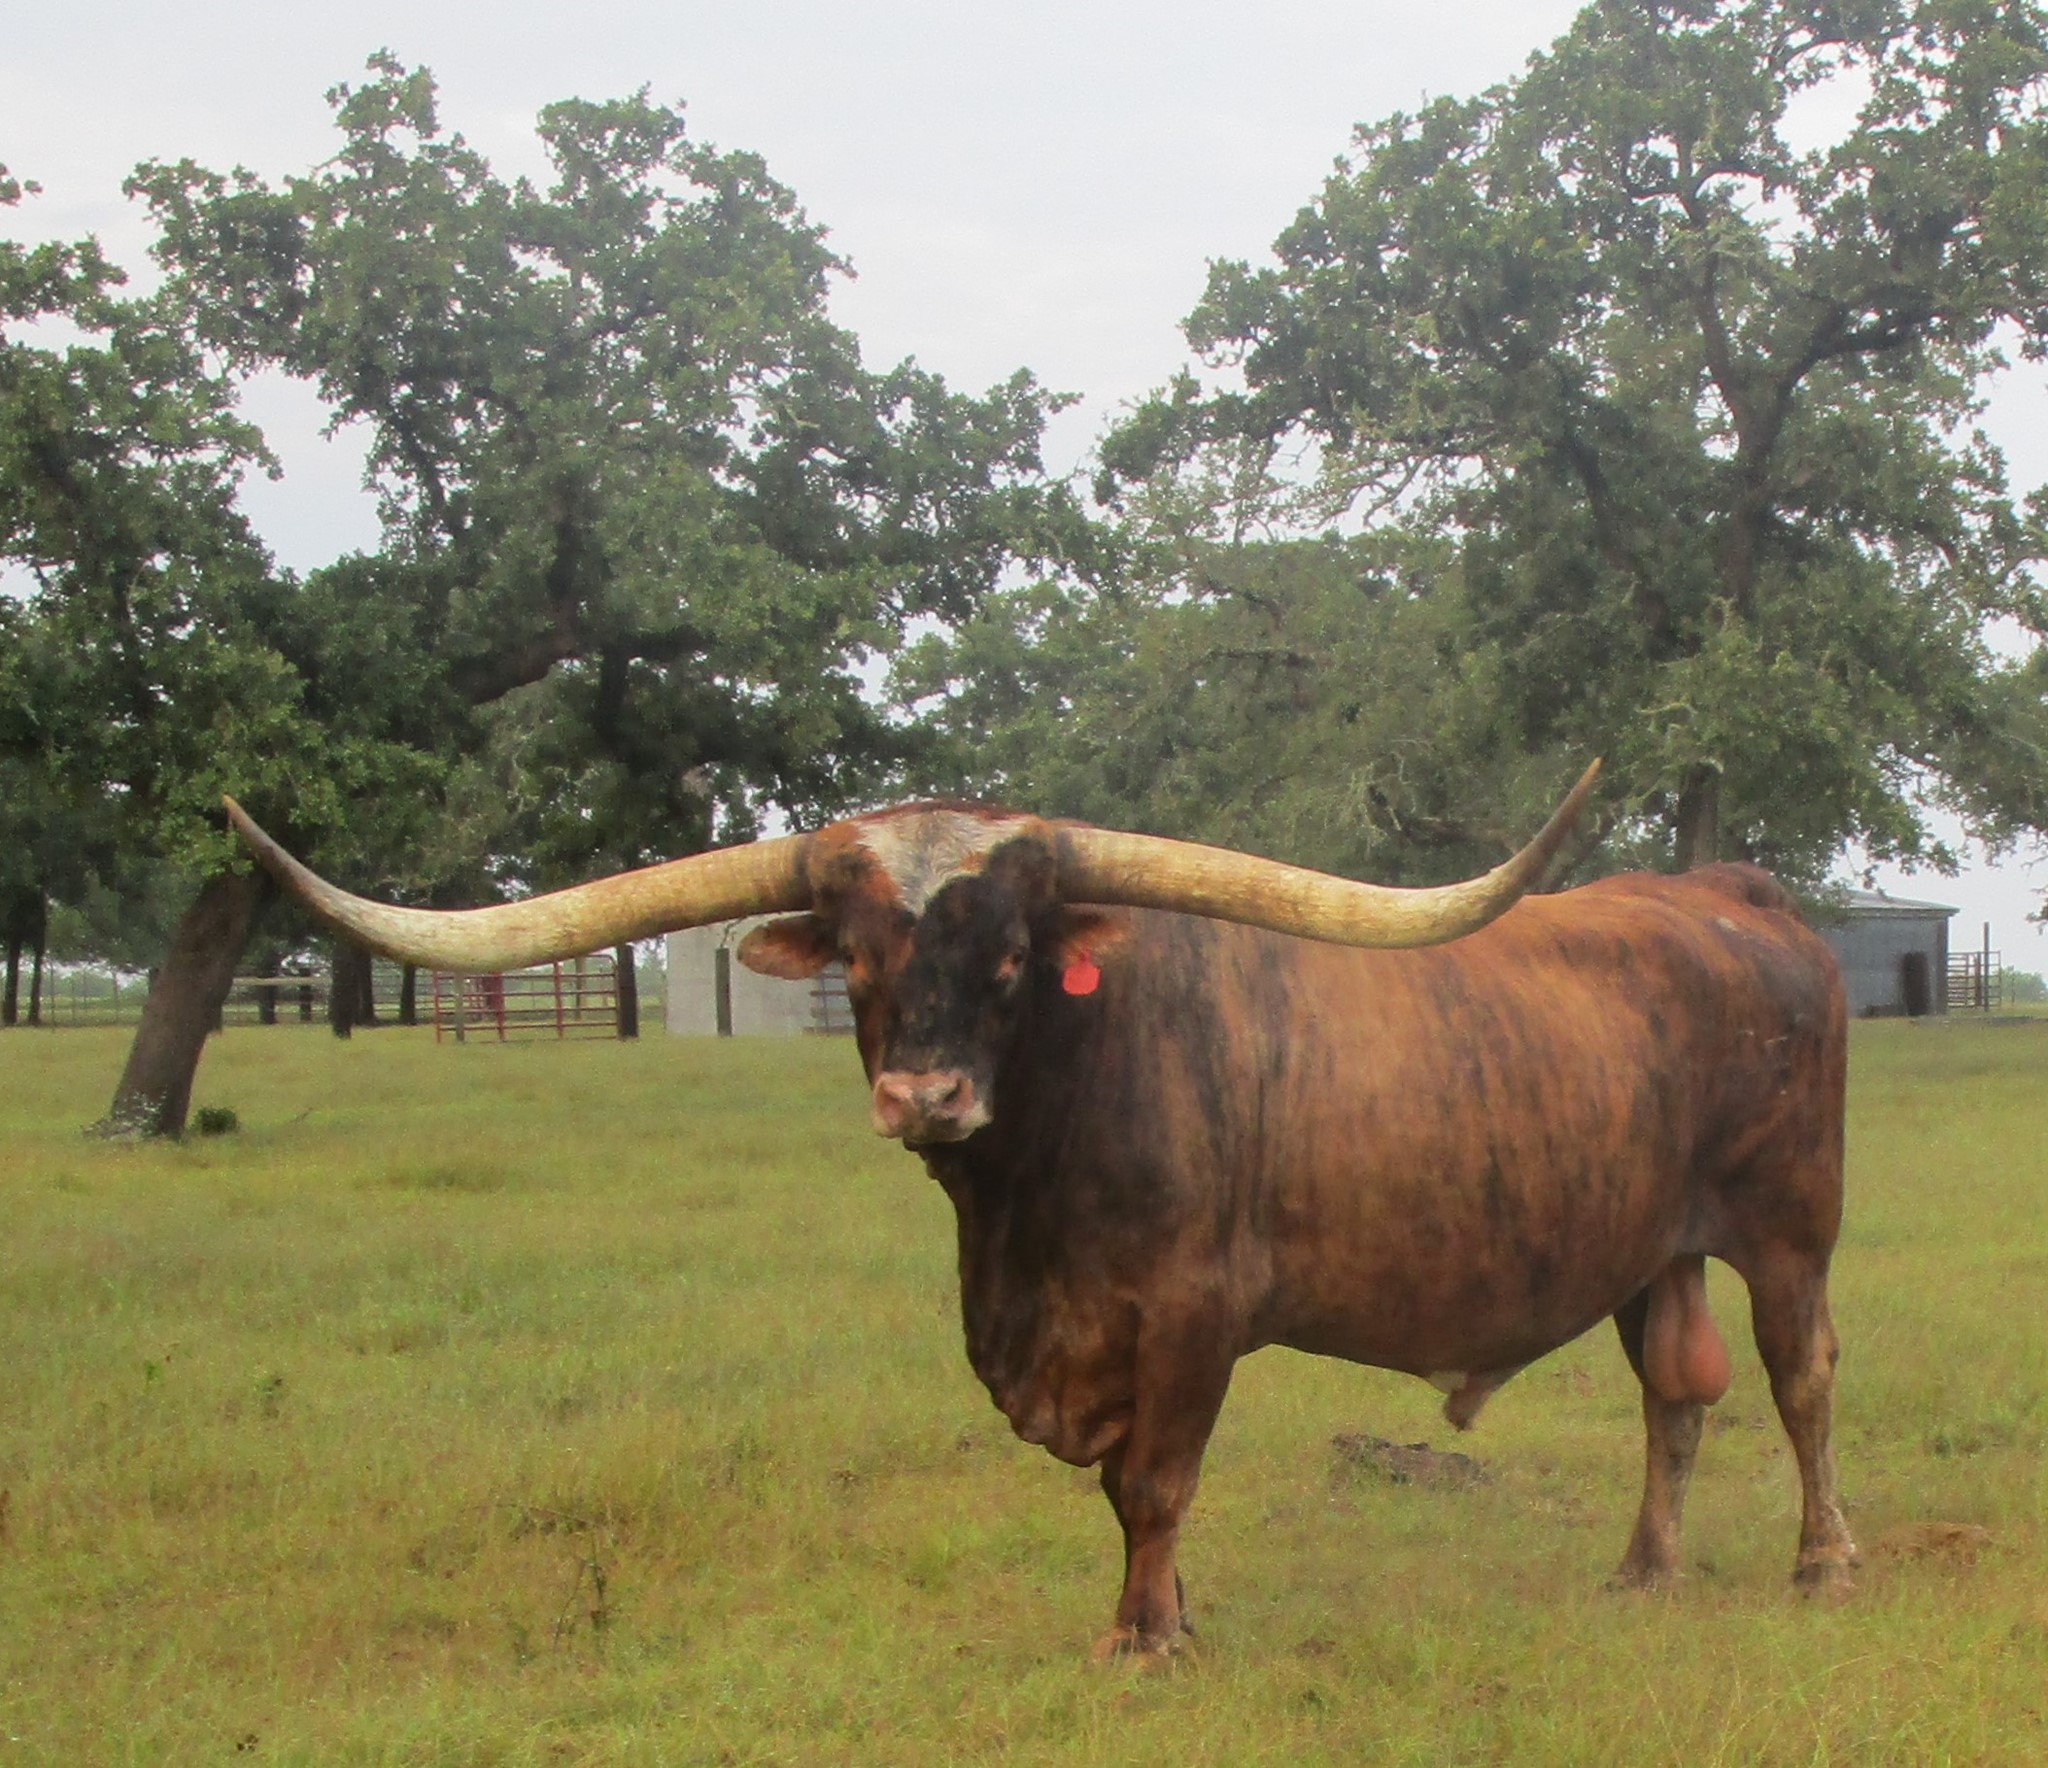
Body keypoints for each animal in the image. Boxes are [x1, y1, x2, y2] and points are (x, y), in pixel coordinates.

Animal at [225, 766, 1856, 1660]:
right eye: (860, 958)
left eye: (1010, 955)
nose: (927, 1096)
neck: (1024, 1216)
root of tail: (1728, 893)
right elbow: (1126, 1491)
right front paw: (1170, 1618)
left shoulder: (1194, 1315)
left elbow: (1153, 1486)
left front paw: (1143, 1640)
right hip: (1656, 1247)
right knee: (1677, 1390)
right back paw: (1643, 1570)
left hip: (1788, 1227)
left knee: (1800, 1379)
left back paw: (1824, 1563)